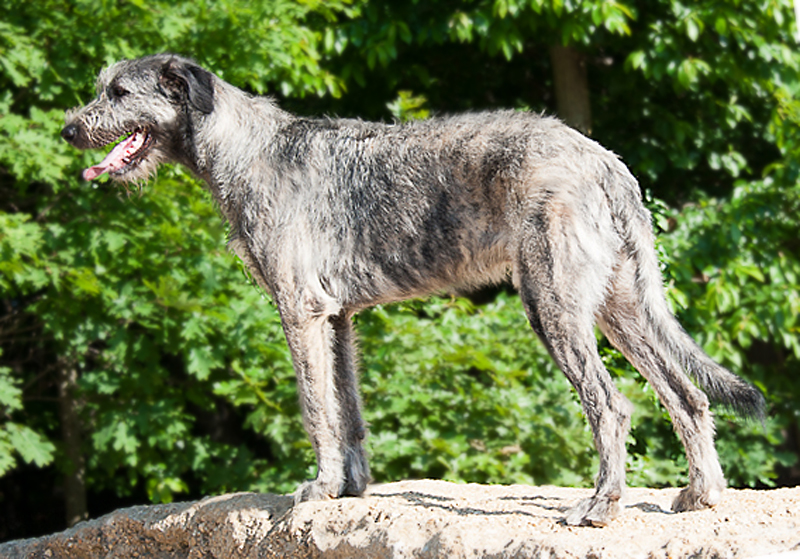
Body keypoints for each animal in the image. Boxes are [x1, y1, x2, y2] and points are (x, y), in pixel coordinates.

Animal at [62, 54, 764, 528]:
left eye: (119, 92)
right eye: (100, 88)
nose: (69, 129)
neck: (245, 148)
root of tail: (608, 163)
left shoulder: (300, 312)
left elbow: (314, 407)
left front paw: (316, 488)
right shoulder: (337, 318)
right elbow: (347, 410)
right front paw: (349, 488)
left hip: (555, 306)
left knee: (613, 405)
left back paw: (601, 505)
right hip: (621, 307)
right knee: (688, 396)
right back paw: (700, 495)